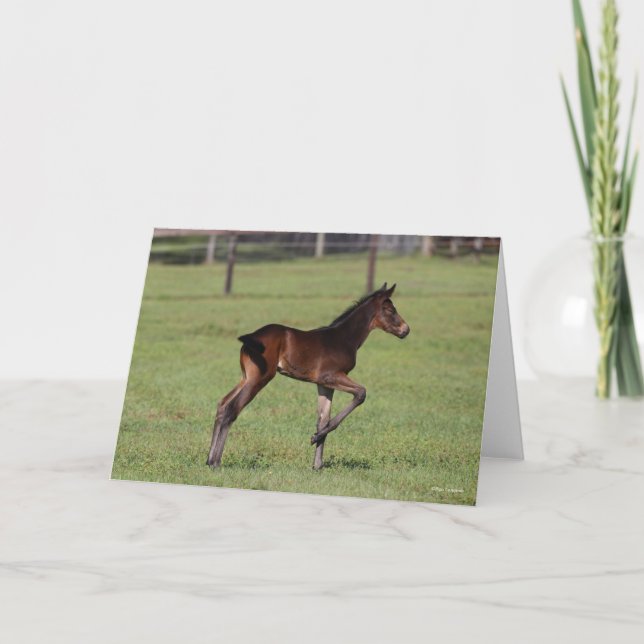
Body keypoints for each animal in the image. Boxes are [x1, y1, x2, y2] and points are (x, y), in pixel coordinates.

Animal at [206, 283, 410, 470]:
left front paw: (317, 465)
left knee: (222, 405)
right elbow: (361, 393)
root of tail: (251, 337)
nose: (406, 330)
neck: (344, 338)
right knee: (232, 408)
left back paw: (208, 460)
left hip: (246, 377)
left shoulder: (323, 384)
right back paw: (216, 462)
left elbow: (323, 419)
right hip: (259, 378)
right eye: (390, 310)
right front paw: (313, 439)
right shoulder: (331, 376)